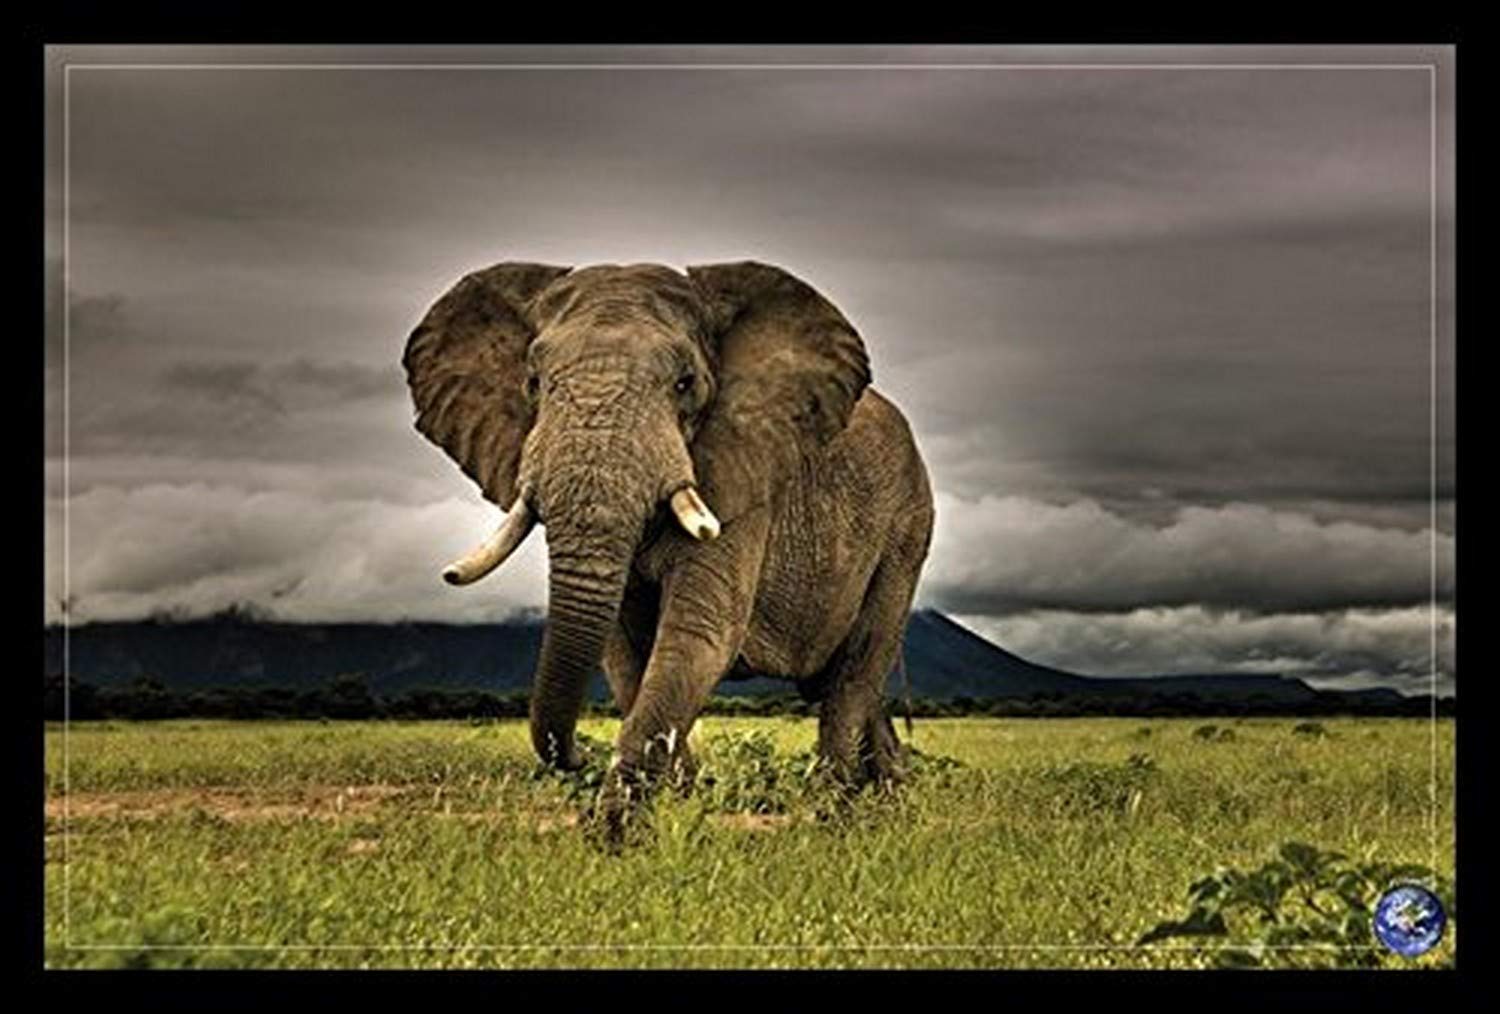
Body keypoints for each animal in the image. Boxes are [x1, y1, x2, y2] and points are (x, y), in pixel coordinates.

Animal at [403, 260, 934, 835]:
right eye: (534, 383)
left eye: (685, 384)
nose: (576, 757)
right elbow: (623, 652)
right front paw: (674, 811)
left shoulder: (741, 477)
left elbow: (698, 634)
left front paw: (615, 836)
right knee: (841, 681)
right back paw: (890, 805)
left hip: (907, 529)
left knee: (855, 671)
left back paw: (835, 819)